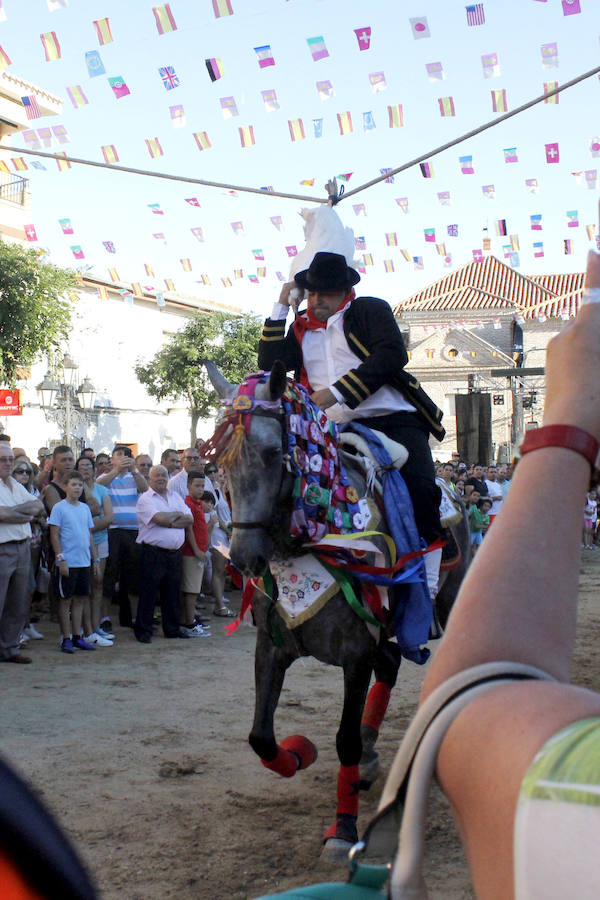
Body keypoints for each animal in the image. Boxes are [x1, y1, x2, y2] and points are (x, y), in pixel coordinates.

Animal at [204, 364, 472, 856]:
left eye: (273, 452)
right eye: (220, 464)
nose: (244, 559)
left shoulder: (355, 652)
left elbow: (343, 739)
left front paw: (342, 828)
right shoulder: (273, 645)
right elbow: (261, 737)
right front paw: (298, 752)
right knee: (390, 667)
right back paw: (370, 753)